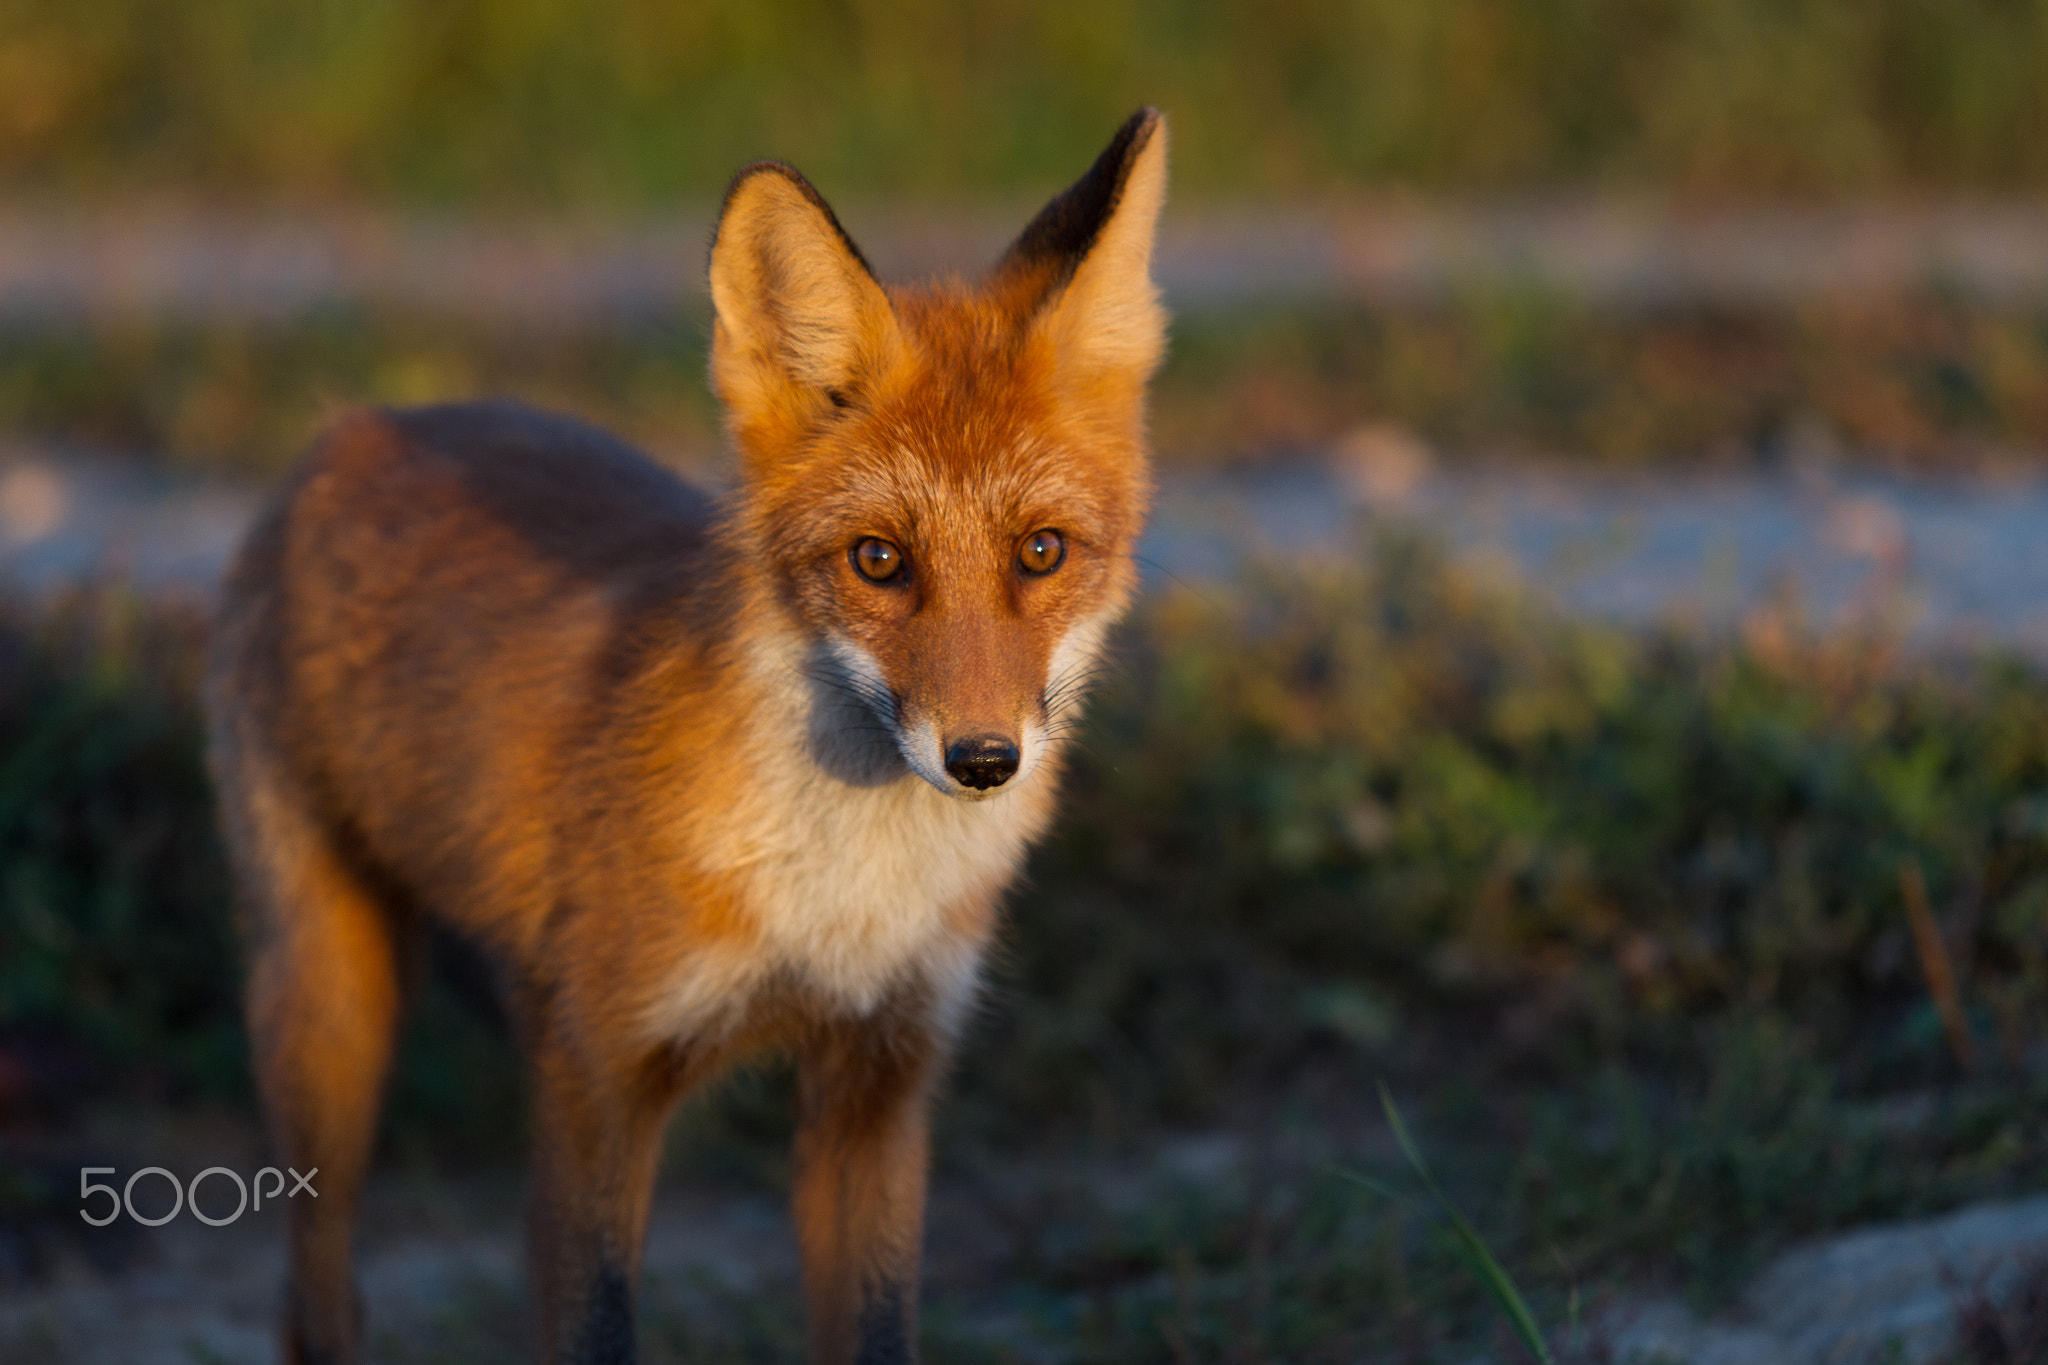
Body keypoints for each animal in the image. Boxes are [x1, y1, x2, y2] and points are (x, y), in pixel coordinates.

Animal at [203, 108, 1167, 1364]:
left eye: (1041, 552)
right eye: (877, 561)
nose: (982, 761)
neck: (835, 898)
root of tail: (354, 427)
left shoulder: (879, 1083)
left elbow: (876, 1327)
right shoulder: (596, 1082)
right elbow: (596, 1324)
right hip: (327, 1014)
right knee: (315, 1300)